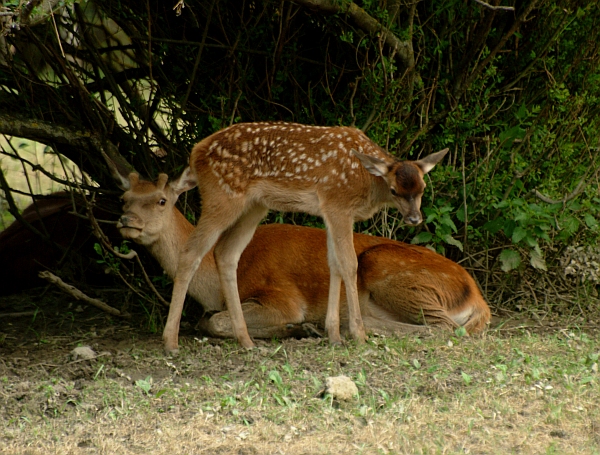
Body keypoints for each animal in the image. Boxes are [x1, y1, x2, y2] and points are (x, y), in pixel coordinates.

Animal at [113, 171, 492, 342]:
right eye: (124, 198)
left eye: (162, 200)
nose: (126, 221)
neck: (213, 288)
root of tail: (478, 297)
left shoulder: (281, 296)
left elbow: (214, 321)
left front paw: (291, 327)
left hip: (392, 272)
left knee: (444, 327)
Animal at [166, 123, 448, 354]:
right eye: (394, 190)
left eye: (422, 188)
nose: (414, 219)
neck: (365, 180)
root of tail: (195, 152)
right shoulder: (338, 204)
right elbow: (349, 264)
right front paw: (358, 334)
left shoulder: (330, 210)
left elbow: (335, 264)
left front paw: (334, 335)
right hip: (222, 196)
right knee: (192, 252)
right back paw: (171, 342)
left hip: (254, 205)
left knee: (225, 253)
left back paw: (246, 341)